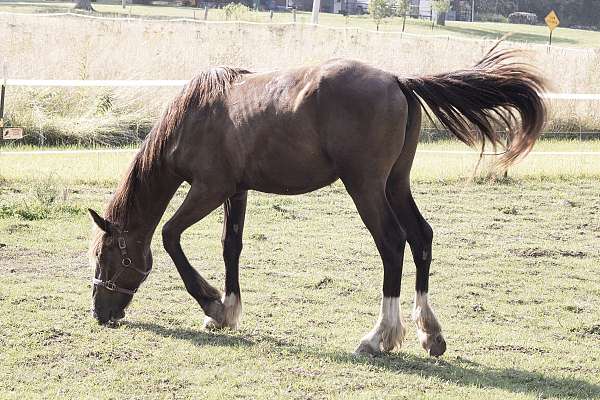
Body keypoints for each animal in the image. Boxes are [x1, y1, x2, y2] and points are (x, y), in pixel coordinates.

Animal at [90, 47, 548, 356]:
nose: (99, 313)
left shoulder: (209, 189)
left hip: (366, 187)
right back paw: (429, 333)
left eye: (105, 257)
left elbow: (170, 235)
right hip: (396, 184)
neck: (196, 116)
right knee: (421, 238)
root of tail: (398, 80)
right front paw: (228, 310)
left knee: (392, 243)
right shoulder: (236, 191)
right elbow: (230, 246)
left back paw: (379, 337)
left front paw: (211, 302)